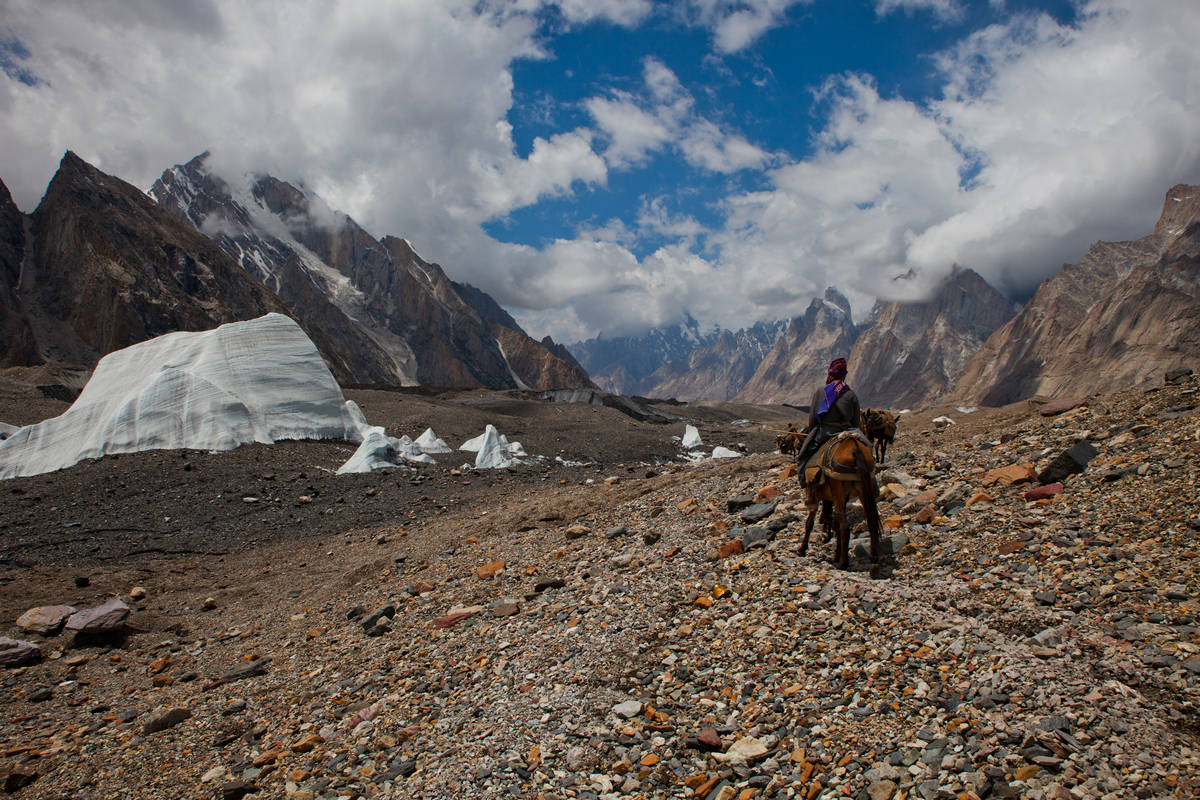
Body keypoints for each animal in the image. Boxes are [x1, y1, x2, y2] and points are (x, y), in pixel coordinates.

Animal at [796, 434, 883, 573]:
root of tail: (855, 447)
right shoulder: (832, 498)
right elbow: (832, 521)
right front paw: (835, 552)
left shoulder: (816, 496)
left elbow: (810, 522)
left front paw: (802, 549)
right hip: (863, 489)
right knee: (871, 520)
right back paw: (874, 556)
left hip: (839, 490)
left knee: (845, 527)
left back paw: (843, 563)